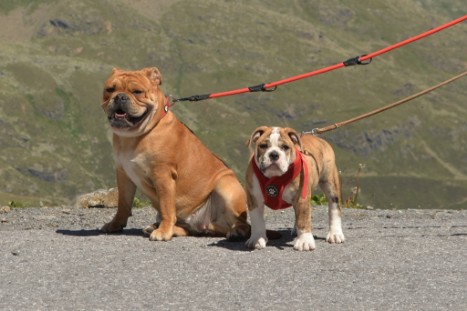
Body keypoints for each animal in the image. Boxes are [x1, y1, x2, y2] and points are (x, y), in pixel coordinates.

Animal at [100, 66, 250, 241]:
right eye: (110, 89)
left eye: (137, 91)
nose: (120, 97)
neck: (135, 135)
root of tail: (204, 224)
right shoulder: (124, 174)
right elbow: (123, 203)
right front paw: (115, 224)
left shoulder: (163, 175)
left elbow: (166, 207)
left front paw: (164, 232)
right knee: (193, 229)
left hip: (226, 186)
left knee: (243, 224)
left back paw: (236, 231)